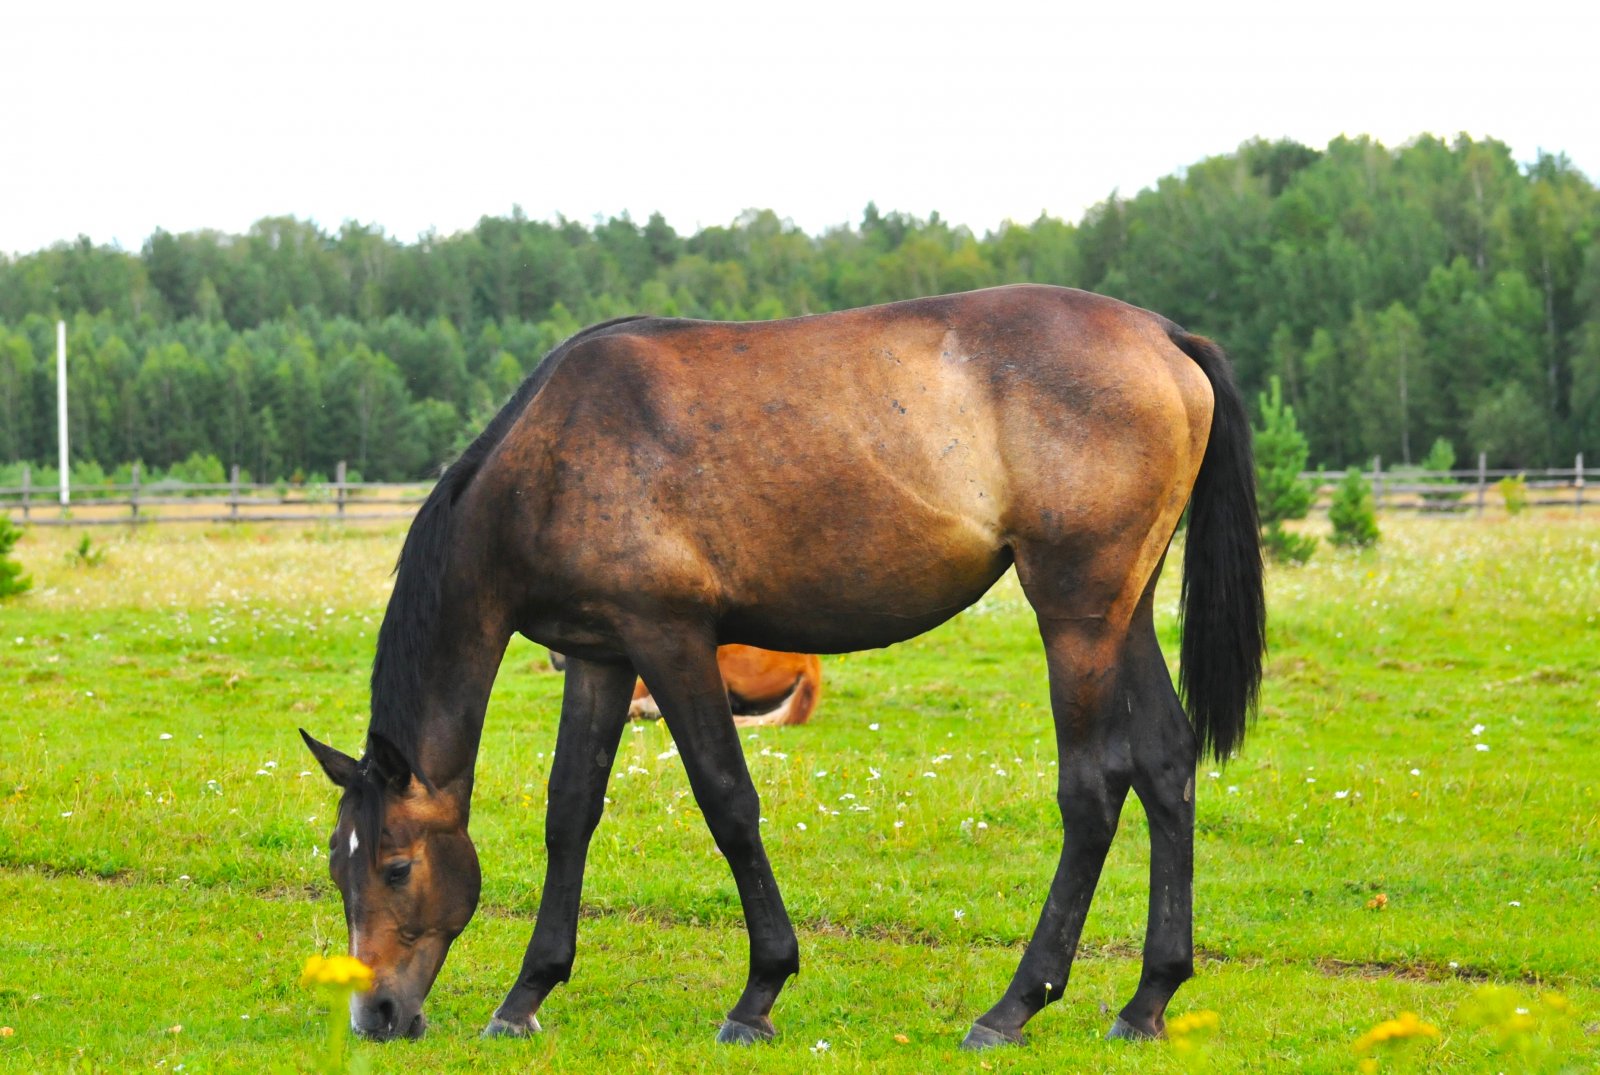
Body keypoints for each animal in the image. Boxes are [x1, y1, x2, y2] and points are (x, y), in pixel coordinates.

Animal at [299, 283, 1264, 1049]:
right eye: (339, 869)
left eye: (394, 866)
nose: (376, 1015)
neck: (554, 451)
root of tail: (1163, 334)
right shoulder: (600, 656)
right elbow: (570, 811)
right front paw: (526, 993)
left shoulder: (671, 640)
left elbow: (728, 801)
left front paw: (759, 991)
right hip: (1122, 611)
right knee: (1167, 765)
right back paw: (1147, 999)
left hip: (1075, 616)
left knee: (1094, 789)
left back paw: (1014, 1005)